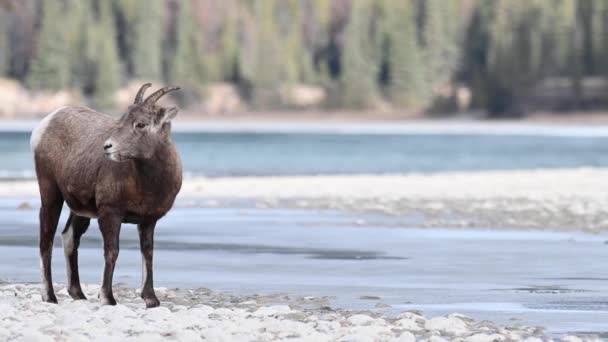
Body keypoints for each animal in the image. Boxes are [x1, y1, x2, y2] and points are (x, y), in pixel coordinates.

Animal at [30, 83, 182, 308]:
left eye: (141, 124)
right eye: (123, 119)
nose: (107, 146)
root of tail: (45, 124)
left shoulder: (148, 221)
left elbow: (148, 253)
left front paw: (151, 299)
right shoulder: (110, 214)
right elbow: (112, 252)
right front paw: (107, 298)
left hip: (80, 210)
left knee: (69, 237)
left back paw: (78, 294)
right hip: (51, 196)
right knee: (45, 241)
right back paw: (49, 296)